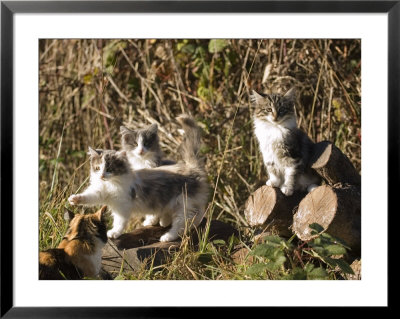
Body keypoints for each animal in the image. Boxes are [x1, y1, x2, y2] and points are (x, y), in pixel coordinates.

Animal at [68, 115, 209, 242]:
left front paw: (115, 232)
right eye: (97, 168)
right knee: (195, 215)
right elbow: (90, 196)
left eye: (109, 169)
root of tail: (192, 167)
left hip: (183, 203)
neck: (110, 184)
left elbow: (119, 221)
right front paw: (75, 199)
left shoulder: (122, 204)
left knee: (183, 222)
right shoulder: (100, 191)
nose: (102, 176)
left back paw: (168, 237)